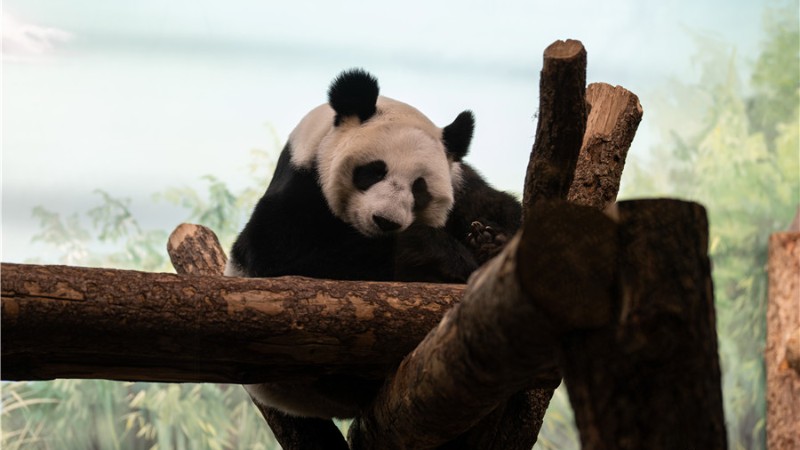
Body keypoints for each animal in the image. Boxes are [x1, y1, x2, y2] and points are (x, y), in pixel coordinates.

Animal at [226, 69, 522, 418]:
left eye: (419, 187)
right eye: (373, 171)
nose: (386, 221)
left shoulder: (460, 179)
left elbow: (500, 207)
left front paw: (490, 240)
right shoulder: (299, 189)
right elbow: (278, 258)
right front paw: (438, 255)